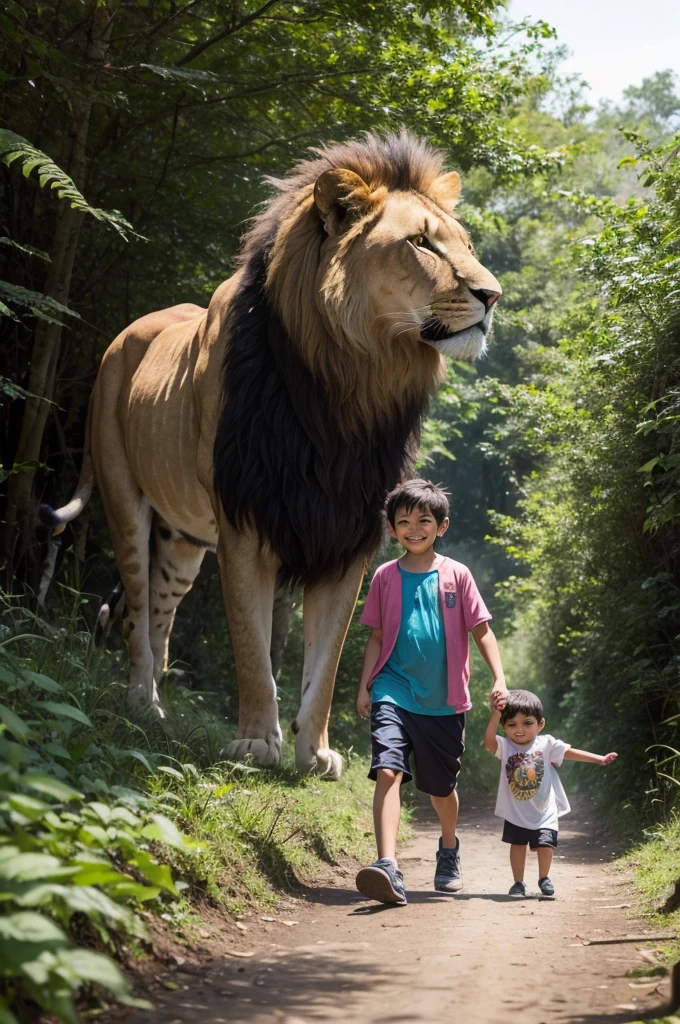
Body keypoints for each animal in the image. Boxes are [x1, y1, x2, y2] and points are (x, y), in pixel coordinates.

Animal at [41, 134, 499, 774]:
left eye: (467, 246)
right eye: (420, 242)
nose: (493, 295)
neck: (348, 390)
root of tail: (122, 337)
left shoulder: (348, 529)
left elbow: (326, 659)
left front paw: (315, 751)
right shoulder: (244, 521)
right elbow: (252, 646)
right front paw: (258, 742)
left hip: (183, 542)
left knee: (159, 612)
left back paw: (158, 700)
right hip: (124, 500)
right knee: (134, 609)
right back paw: (143, 703)